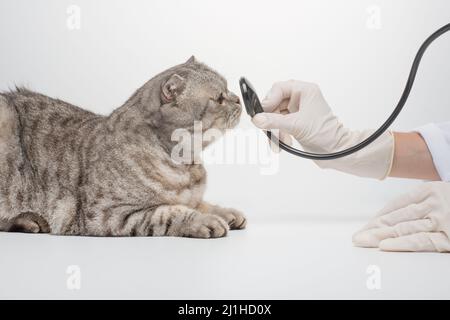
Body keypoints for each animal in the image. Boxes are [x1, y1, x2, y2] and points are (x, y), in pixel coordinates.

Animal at [0, 57, 246, 238]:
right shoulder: (109, 214)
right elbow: (170, 212)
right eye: (219, 98)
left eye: (229, 89)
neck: (186, 162)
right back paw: (28, 220)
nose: (238, 99)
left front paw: (225, 212)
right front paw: (204, 220)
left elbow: (200, 203)